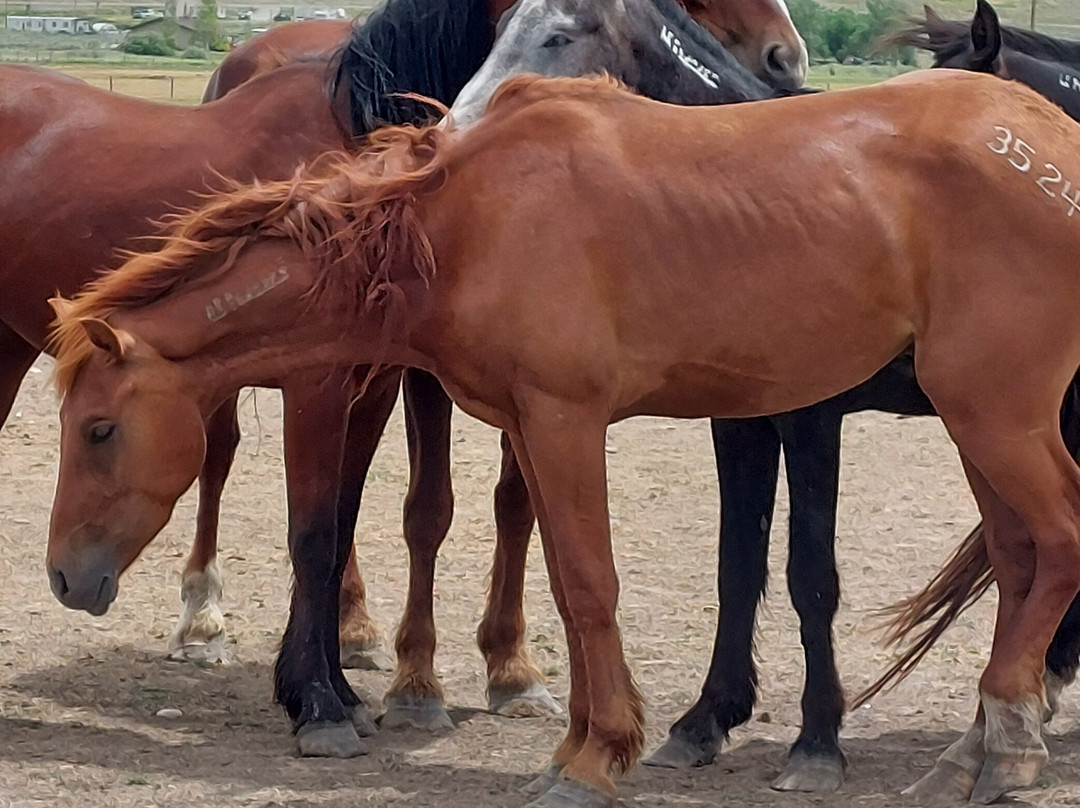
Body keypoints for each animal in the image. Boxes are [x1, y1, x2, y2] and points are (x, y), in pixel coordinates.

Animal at [18, 0, 808, 758]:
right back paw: (204, 621)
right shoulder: (351, 380)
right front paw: (360, 695)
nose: (786, 61)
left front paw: (495, 672)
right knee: (219, 459)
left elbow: (453, 512)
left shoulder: (400, 376)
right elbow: (377, 519)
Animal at [46, 70, 1080, 807]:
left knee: (1060, 540)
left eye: (99, 428)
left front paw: (593, 762)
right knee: (1020, 560)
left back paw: (1012, 740)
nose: (63, 577)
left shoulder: (565, 420)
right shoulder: (532, 431)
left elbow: (589, 586)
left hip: (996, 412)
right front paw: (580, 743)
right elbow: (562, 584)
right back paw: (976, 753)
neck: (464, 221)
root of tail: (1053, 140)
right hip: (978, 424)